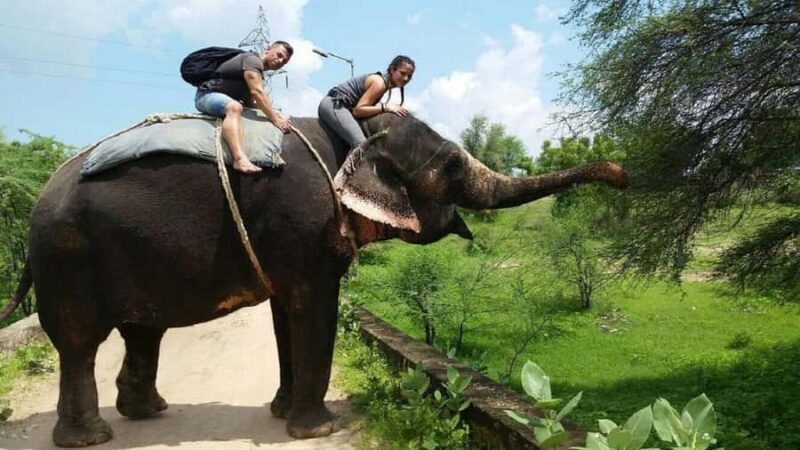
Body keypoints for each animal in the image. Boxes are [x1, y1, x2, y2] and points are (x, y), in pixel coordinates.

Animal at [2, 112, 627, 447]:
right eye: (451, 165)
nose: (623, 174)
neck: (354, 134)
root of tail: (38, 204)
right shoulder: (305, 223)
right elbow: (315, 306)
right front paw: (316, 430)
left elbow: (287, 313)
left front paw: (282, 413)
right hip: (69, 257)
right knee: (80, 343)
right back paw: (92, 437)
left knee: (141, 332)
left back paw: (148, 412)